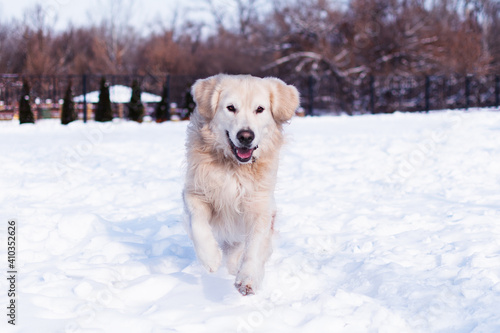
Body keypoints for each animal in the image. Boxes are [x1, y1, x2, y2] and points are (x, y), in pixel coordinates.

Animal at [184, 74, 300, 294]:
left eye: (260, 109)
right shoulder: (195, 191)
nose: (245, 136)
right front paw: (210, 257)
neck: (235, 167)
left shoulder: (260, 205)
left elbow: (255, 246)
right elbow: (198, 224)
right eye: (231, 108)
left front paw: (248, 278)